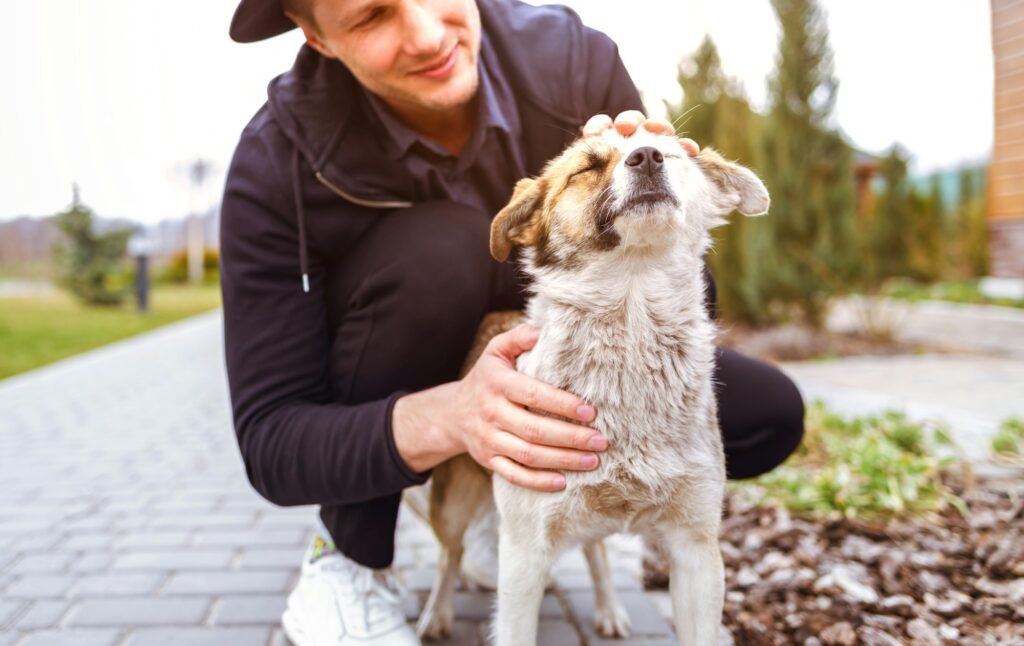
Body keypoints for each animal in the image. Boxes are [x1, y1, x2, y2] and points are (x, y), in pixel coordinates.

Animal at [411, 127, 765, 646]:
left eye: (675, 153)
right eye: (586, 167)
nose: (647, 156)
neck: (632, 317)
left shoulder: (696, 550)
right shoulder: (523, 554)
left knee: (596, 551)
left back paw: (610, 610)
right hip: (454, 503)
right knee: (448, 555)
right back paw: (436, 616)